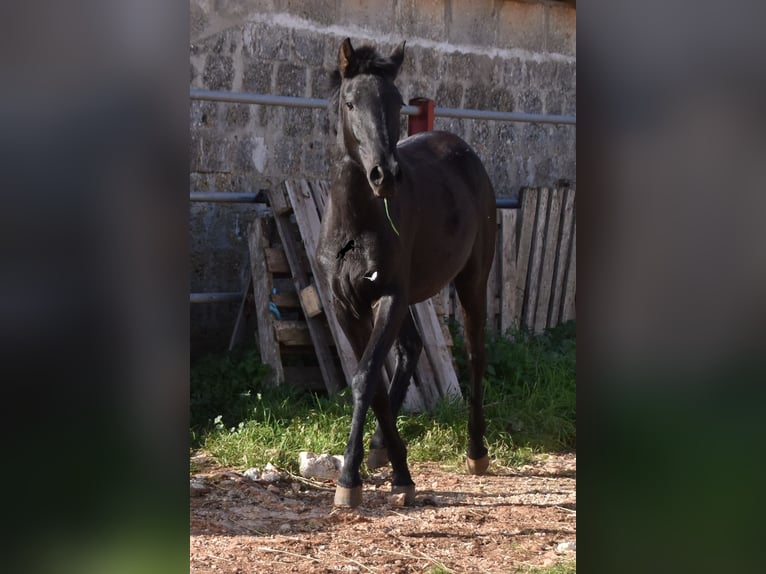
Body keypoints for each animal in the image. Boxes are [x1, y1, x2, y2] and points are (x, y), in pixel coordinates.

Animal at [318, 39, 498, 508]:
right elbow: (374, 381)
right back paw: (382, 447)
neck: (357, 223)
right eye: (350, 102)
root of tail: (462, 150)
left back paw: (476, 452)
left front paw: (350, 479)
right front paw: (396, 469)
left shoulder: (390, 297)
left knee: (475, 355)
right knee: (411, 347)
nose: (386, 175)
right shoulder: (348, 306)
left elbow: (365, 377)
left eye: (397, 103)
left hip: (471, 279)